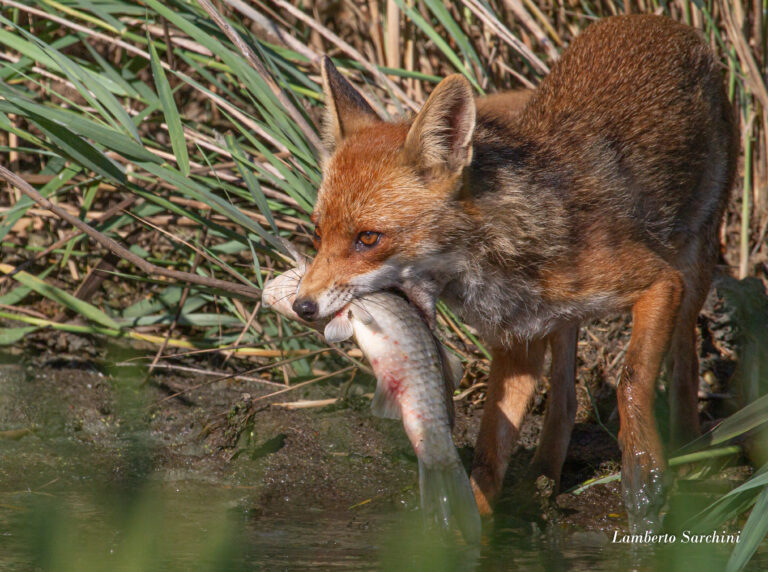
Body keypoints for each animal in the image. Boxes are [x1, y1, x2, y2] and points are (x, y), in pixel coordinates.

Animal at [292, 14, 736, 532]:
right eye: (316, 233)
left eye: (368, 238)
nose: (302, 306)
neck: (503, 256)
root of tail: (658, 21)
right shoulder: (517, 342)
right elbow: (489, 453)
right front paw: (474, 526)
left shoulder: (657, 281)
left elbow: (630, 381)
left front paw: (644, 477)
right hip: (565, 322)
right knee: (563, 400)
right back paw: (543, 477)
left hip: (693, 263)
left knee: (684, 362)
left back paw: (688, 447)